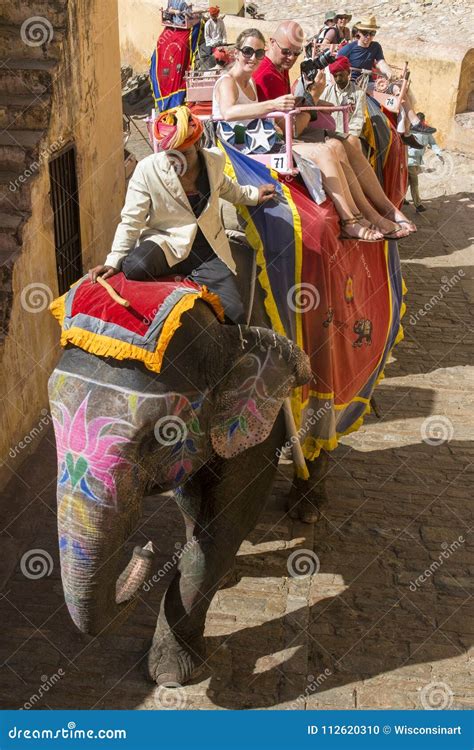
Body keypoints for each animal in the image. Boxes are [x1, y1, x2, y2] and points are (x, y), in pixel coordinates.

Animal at [50, 280, 312, 688]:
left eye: (161, 435)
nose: (144, 548)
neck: (226, 332)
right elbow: (191, 507)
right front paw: (221, 574)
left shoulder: (256, 421)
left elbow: (224, 529)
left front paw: (170, 674)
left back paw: (308, 508)